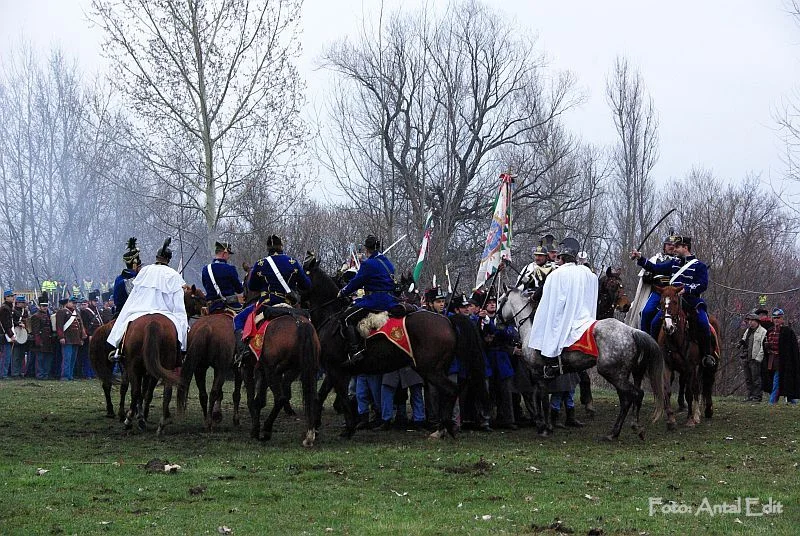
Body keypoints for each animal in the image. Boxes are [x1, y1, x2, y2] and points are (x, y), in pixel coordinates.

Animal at [240, 307, 320, 447]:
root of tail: (301, 324)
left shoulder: (252, 369)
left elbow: (253, 400)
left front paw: (255, 430)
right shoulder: (263, 372)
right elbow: (259, 400)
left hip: (273, 371)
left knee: (280, 398)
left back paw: (267, 430)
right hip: (304, 370)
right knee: (313, 398)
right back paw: (310, 436)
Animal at [302, 255, 487, 440]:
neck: (330, 316)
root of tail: (447, 320)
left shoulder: (335, 369)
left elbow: (341, 397)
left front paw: (347, 429)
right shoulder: (334, 369)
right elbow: (321, 396)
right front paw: (317, 427)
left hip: (430, 370)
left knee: (450, 390)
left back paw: (443, 427)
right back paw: (441, 428)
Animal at [499, 287, 665, 440]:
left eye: (500, 300)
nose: (496, 321)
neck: (531, 331)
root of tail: (632, 331)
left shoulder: (538, 374)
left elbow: (542, 400)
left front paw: (544, 428)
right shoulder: (541, 377)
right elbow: (537, 397)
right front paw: (543, 425)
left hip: (612, 373)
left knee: (635, 395)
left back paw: (632, 428)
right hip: (621, 375)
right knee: (626, 399)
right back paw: (614, 432)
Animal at [656, 285, 720, 429]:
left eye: (675, 302)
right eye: (661, 303)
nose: (668, 327)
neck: (676, 338)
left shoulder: (690, 366)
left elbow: (690, 392)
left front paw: (690, 419)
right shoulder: (667, 365)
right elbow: (667, 390)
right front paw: (671, 420)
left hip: (709, 365)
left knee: (706, 383)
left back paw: (705, 412)